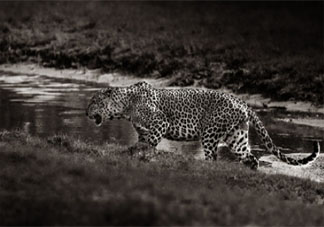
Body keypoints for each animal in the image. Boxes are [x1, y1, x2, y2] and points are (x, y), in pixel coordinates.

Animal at [86, 80, 322, 169]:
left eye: (93, 101)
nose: (86, 112)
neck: (125, 106)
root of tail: (243, 102)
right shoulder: (144, 129)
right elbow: (144, 142)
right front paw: (137, 154)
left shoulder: (160, 122)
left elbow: (148, 143)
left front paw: (140, 154)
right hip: (237, 137)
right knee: (250, 157)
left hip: (210, 132)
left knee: (213, 157)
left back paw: (206, 170)